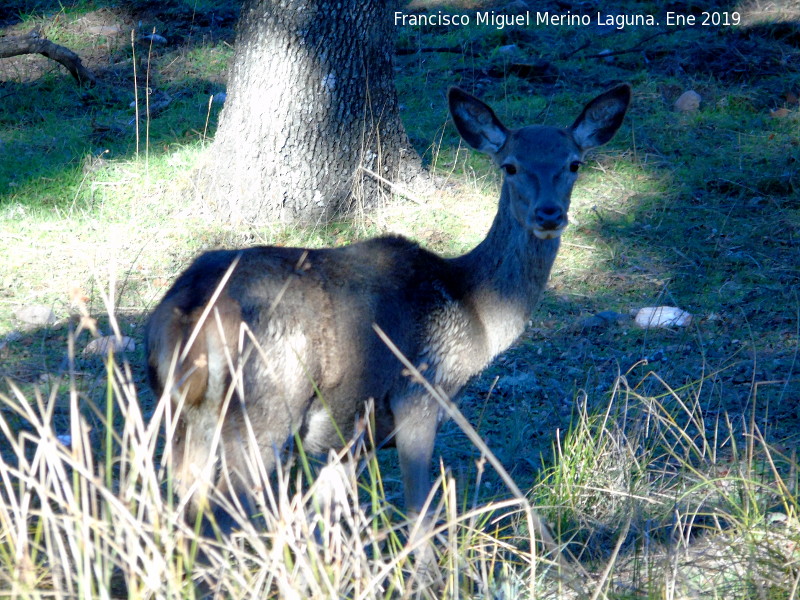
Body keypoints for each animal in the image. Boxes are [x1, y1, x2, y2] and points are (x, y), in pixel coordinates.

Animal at [144, 83, 632, 528]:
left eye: (573, 163)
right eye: (510, 165)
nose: (550, 214)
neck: (474, 311)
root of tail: (186, 310)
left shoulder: (356, 435)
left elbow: (324, 519)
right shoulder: (419, 394)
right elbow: (420, 516)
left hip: (183, 415)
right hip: (262, 404)